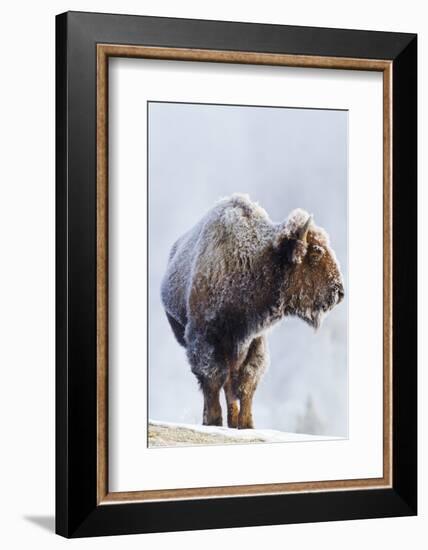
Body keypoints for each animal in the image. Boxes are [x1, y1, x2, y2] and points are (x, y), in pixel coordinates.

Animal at [160, 194, 344, 432]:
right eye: (315, 252)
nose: (339, 292)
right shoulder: (205, 337)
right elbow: (213, 378)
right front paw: (213, 421)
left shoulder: (254, 340)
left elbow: (246, 382)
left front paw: (246, 424)